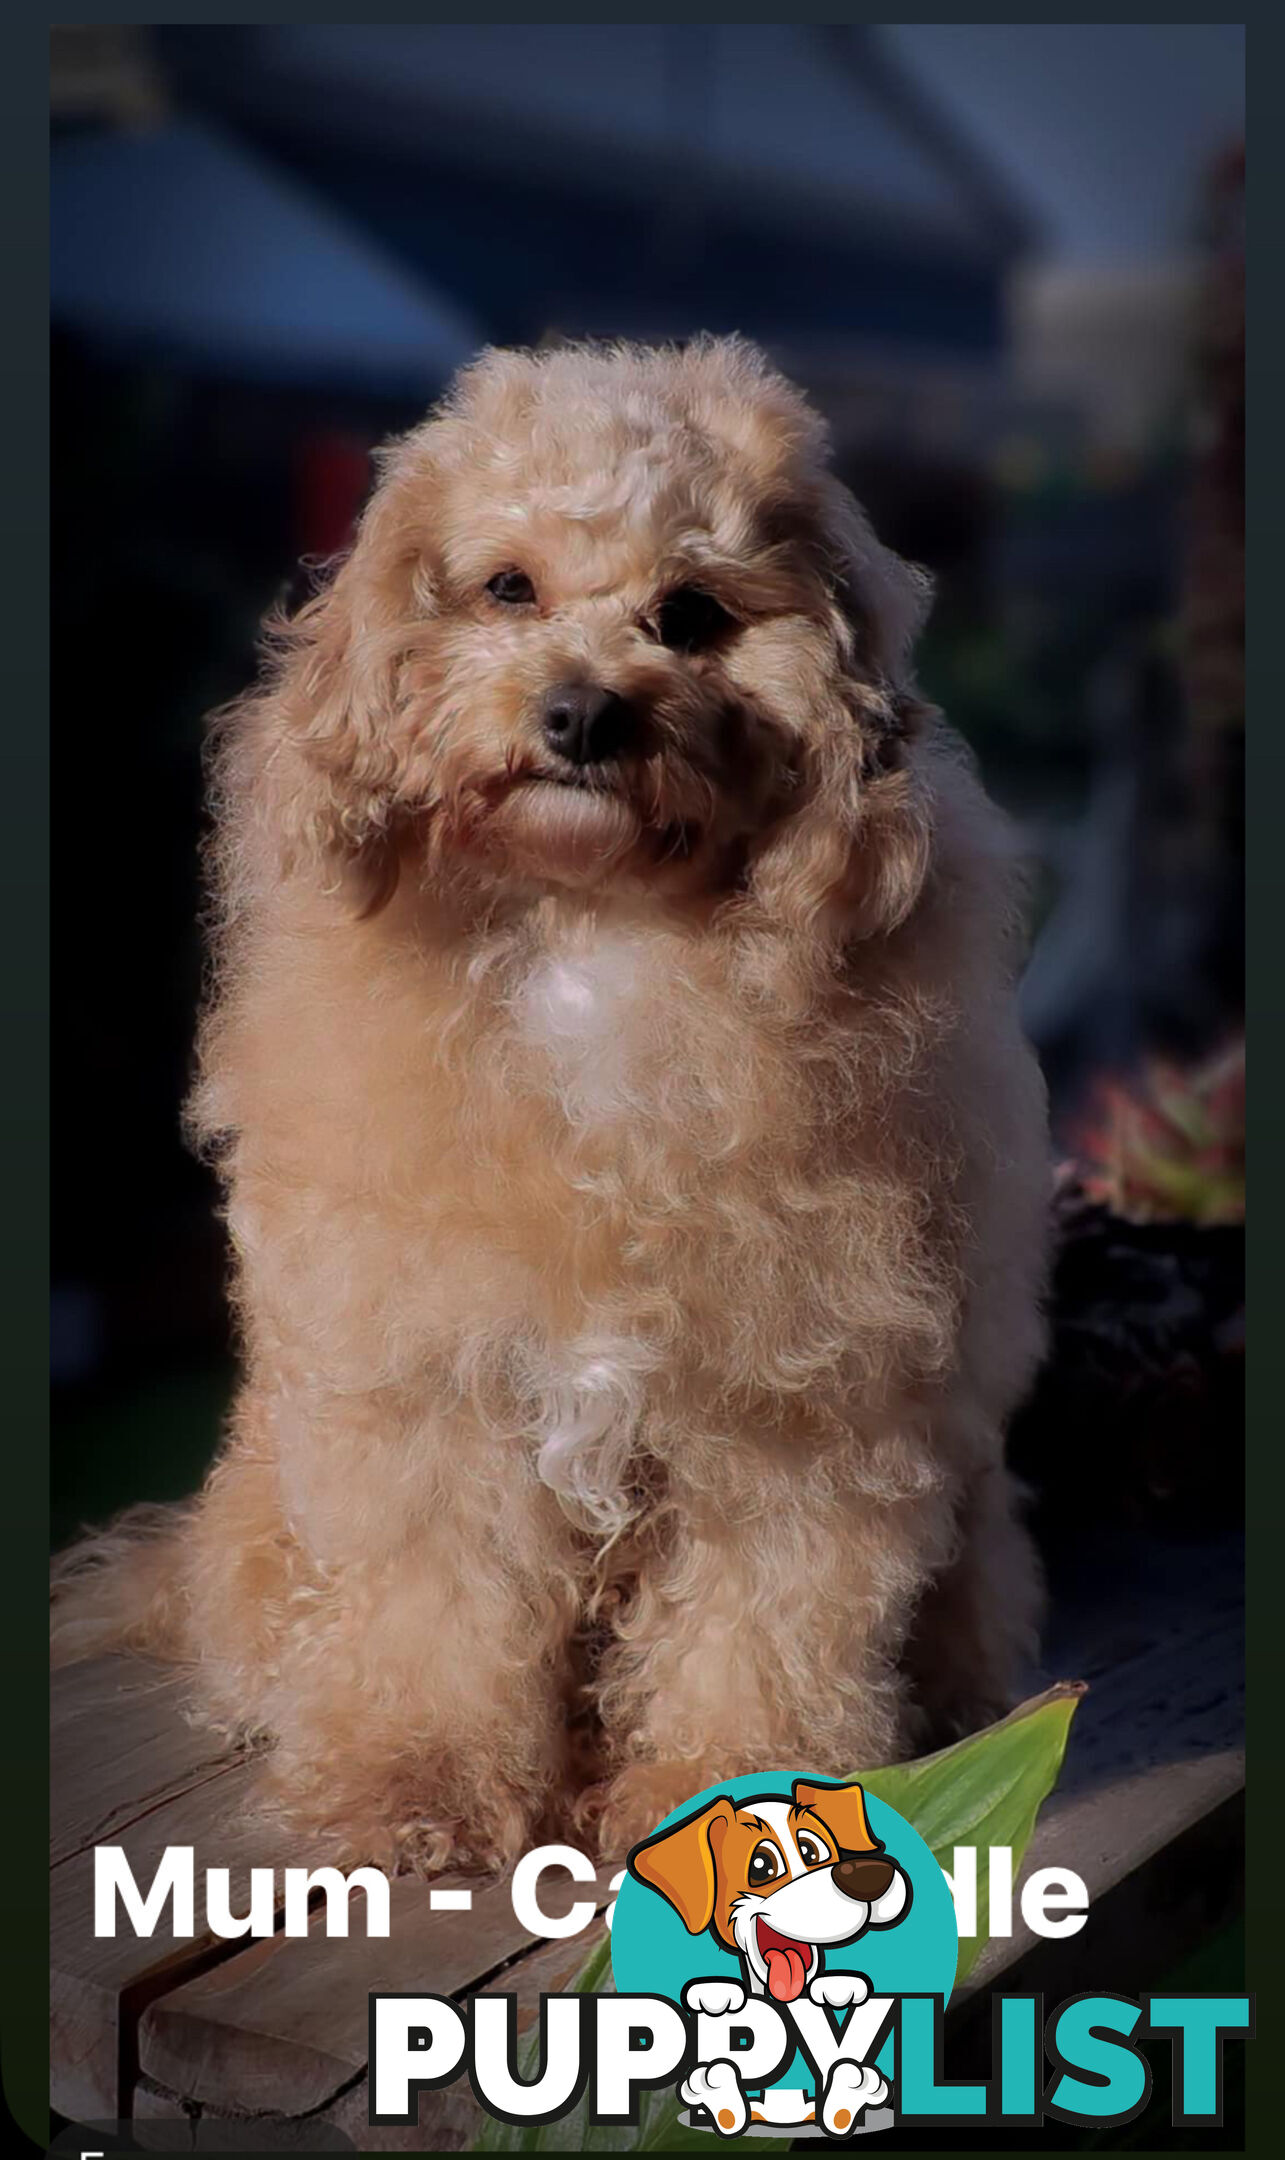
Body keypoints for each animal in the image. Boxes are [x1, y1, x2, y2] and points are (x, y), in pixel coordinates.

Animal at [55, 336, 1049, 1874]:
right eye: (506, 588)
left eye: (690, 615)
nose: (581, 713)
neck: (596, 930)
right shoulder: (431, 1387)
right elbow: (439, 1608)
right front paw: (410, 1785)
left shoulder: (796, 1404)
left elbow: (763, 1619)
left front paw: (728, 1789)